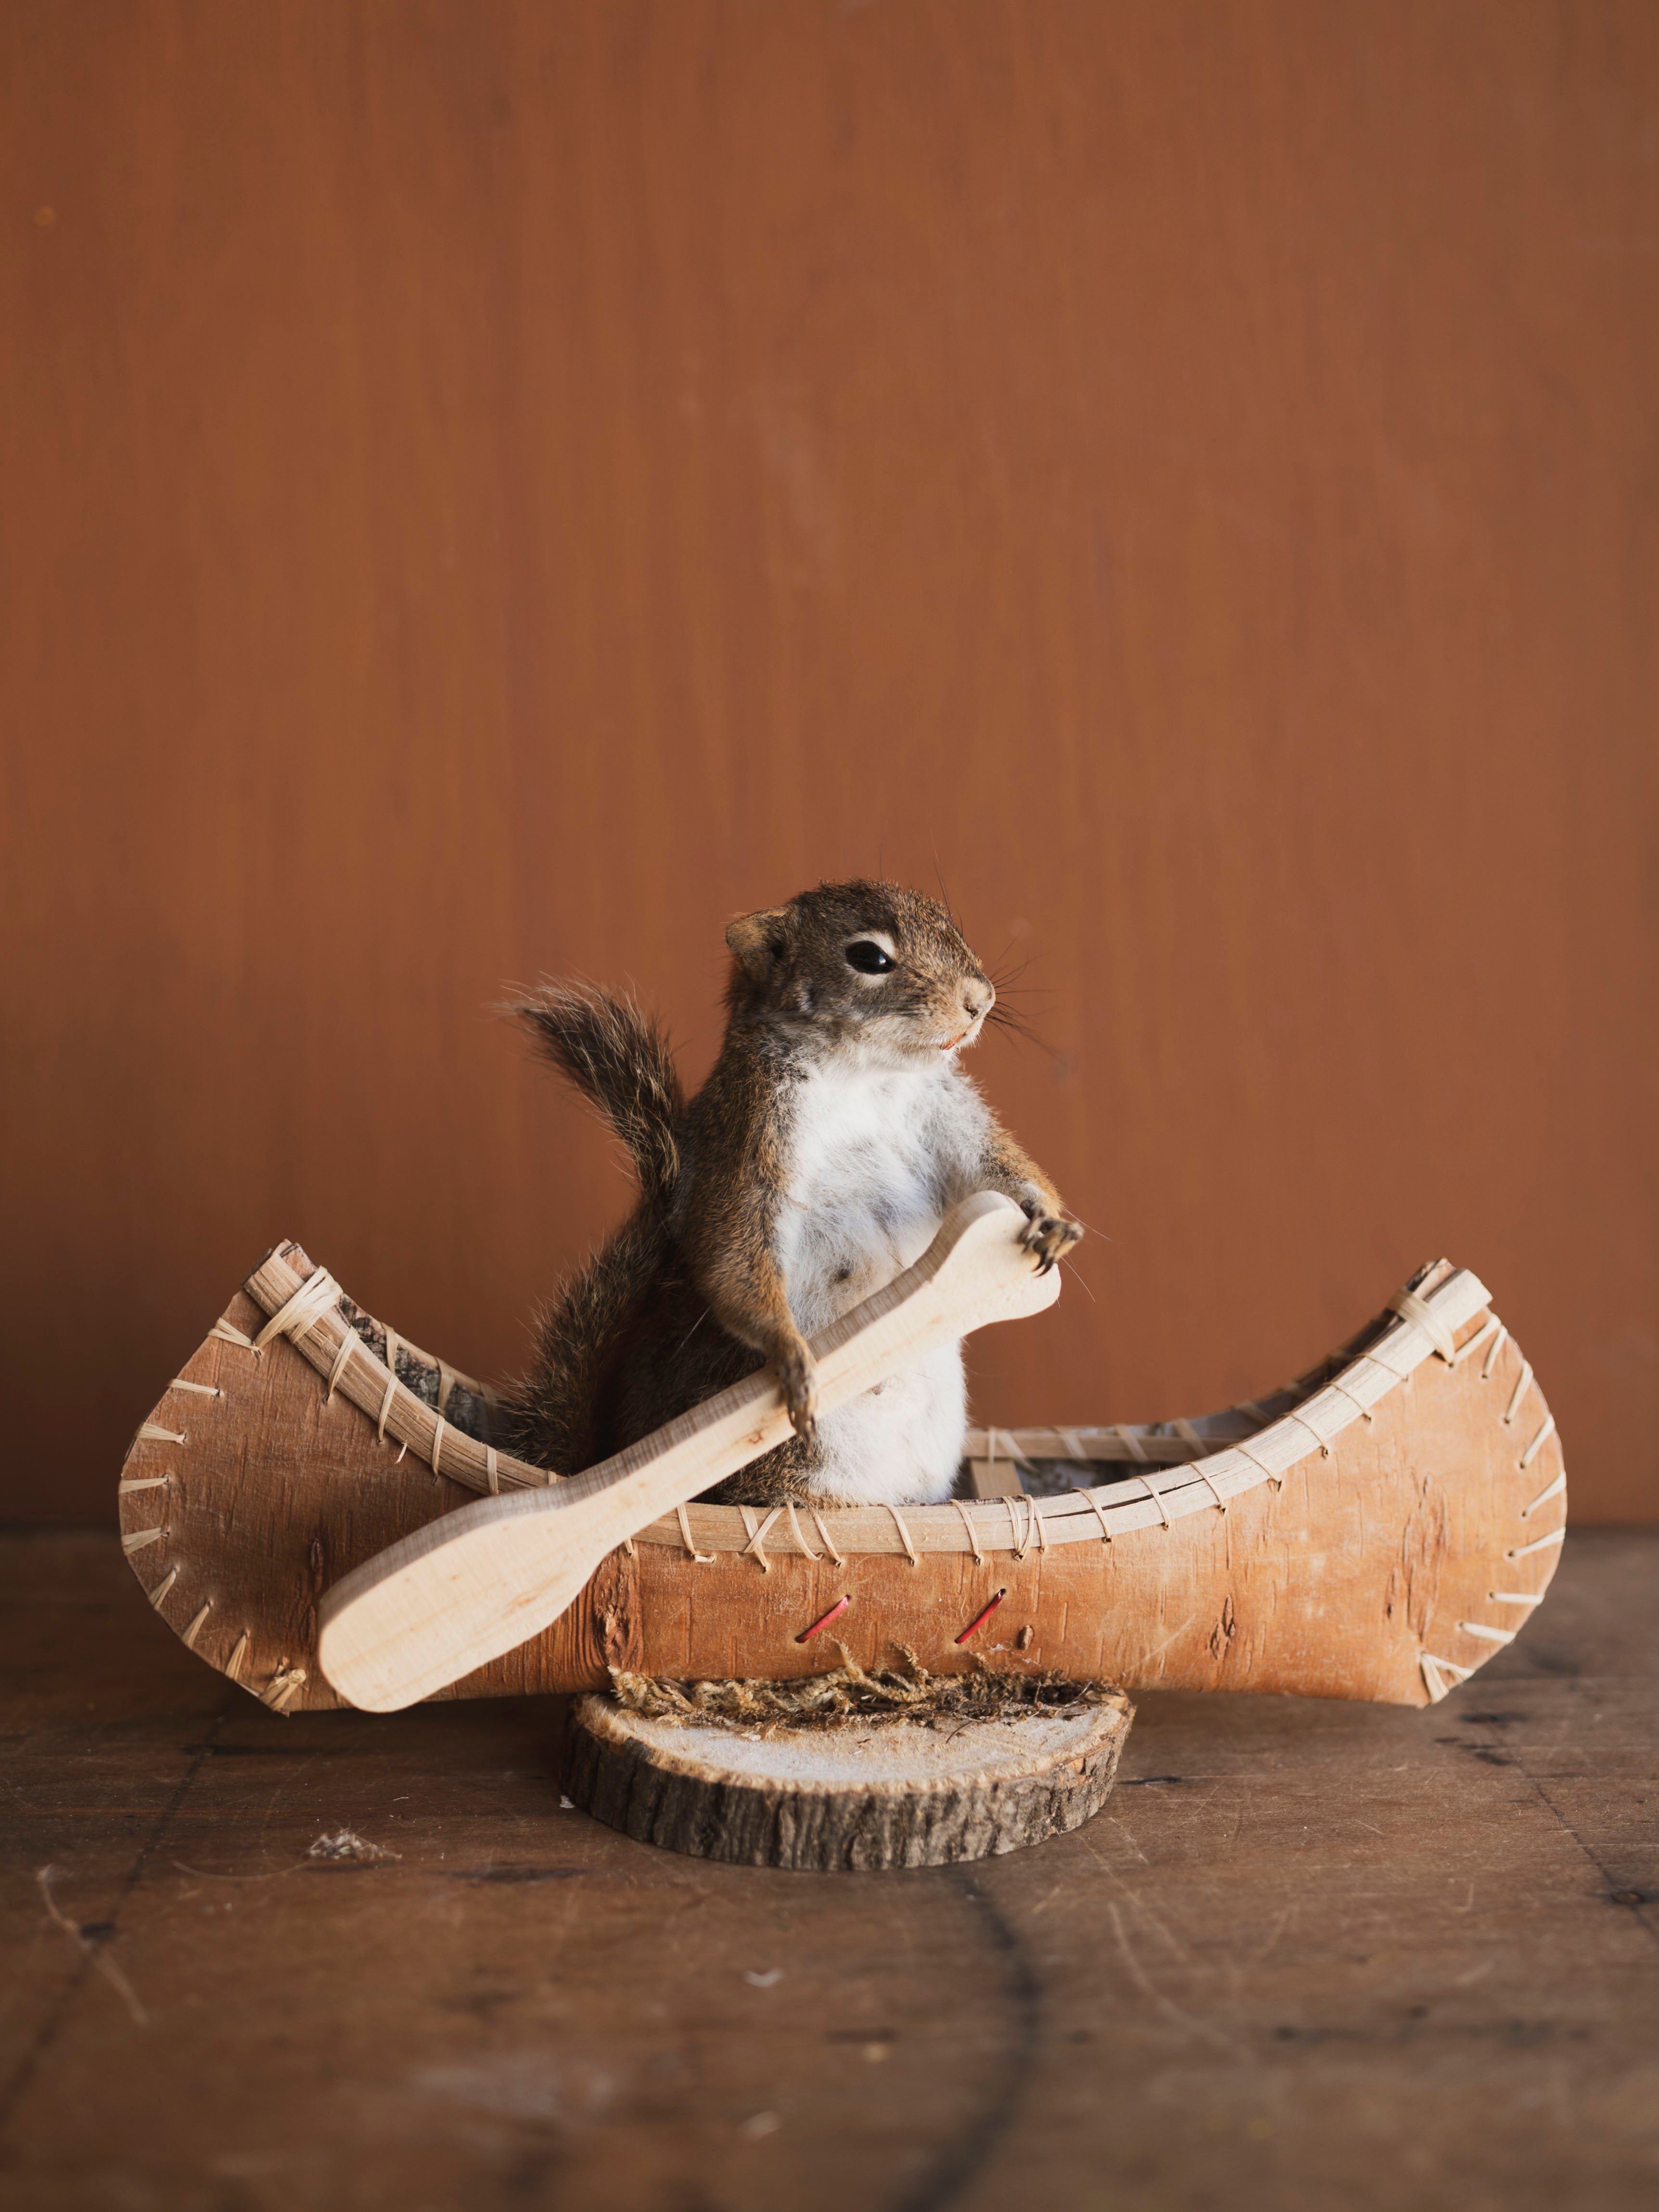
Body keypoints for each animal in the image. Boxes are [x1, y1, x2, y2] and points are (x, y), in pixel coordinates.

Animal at [506, 880, 1081, 1507]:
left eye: (949, 922)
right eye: (869, 957)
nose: (980, 1000)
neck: (865, 1076)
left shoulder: (948, 1116)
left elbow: (993, 1169)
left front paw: (1048, 1220)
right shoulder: (749, 1137)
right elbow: (733, 1250)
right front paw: (789, 1352)